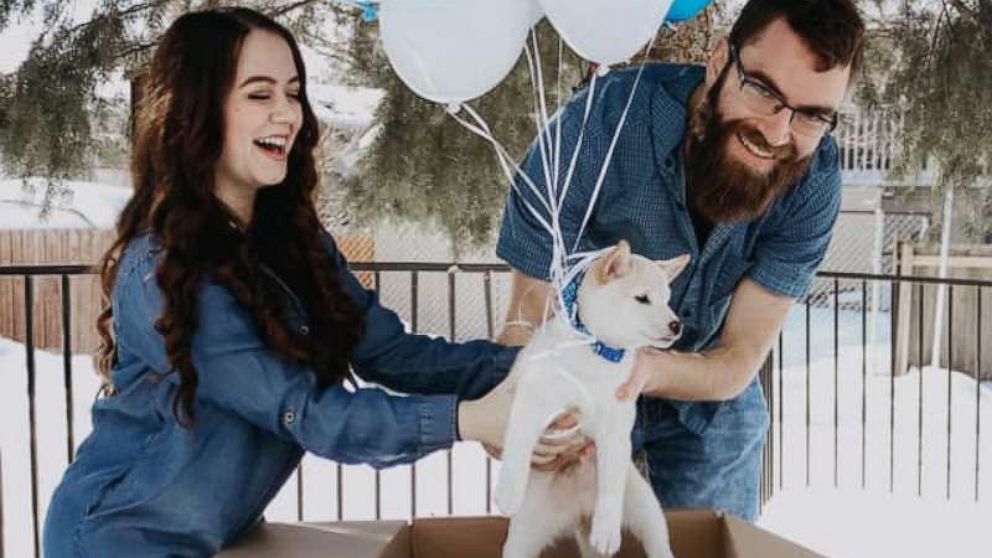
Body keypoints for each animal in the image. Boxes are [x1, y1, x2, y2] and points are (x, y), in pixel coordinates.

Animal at [496, 242, 688, 558]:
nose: (676, 325)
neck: (597, 352)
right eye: (642, 298)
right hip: (523, 534)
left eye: (667, 300)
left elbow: (610, 486)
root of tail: (579, 510)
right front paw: (508, 489)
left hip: (645, 506)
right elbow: (519, 441)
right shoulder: (534, 397)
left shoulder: (615, 428)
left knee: (657, 541)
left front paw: (607, 530)